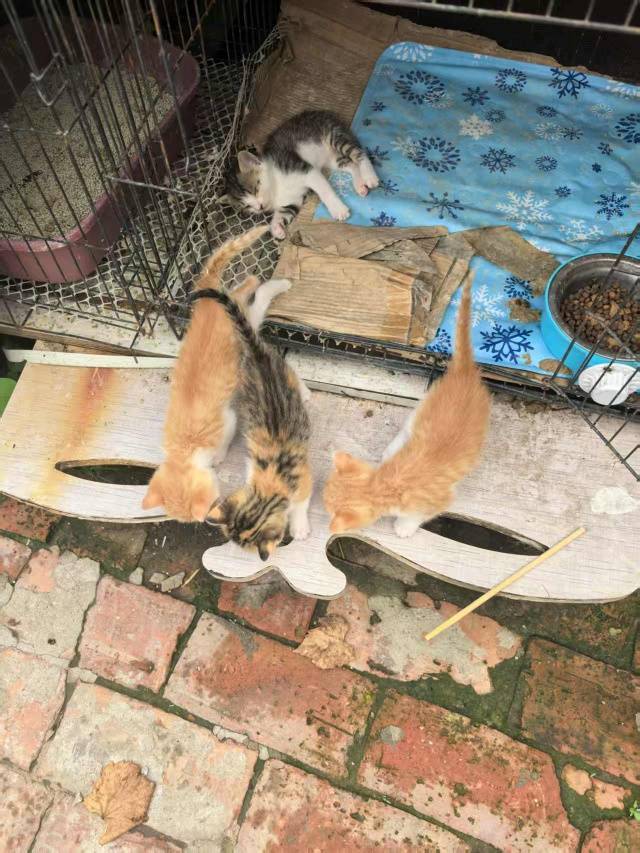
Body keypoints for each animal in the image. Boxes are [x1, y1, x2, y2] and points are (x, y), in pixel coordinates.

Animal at [141, 224, 291, 523]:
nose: (204, 519)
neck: (184, 448)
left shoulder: (227, 420)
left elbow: (226, 436)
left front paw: (219, 457)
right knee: (242, 287)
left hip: (246, 322)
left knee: (254, 294)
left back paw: (278, 285)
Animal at [204, 289, 313, 562]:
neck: (270, 484)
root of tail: (256, 352)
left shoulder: (305, 480)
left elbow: (302, 504)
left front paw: (300, 527)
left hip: (282, 370)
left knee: (296, 377)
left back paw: (305, 393)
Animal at [219, 109, 379, 240]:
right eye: (246, 206)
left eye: (255, 189)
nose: (259, 207)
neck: (276, 187)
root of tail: (325, 113)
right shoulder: (293, 200)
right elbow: (285, 212)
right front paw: (276, 228)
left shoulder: (303, 169)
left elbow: (324, 191)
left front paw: (338, 210)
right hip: (333, 160)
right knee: (351, 165)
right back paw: (360, 185)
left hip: (334, 136)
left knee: (359, 153)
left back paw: (369, 177)